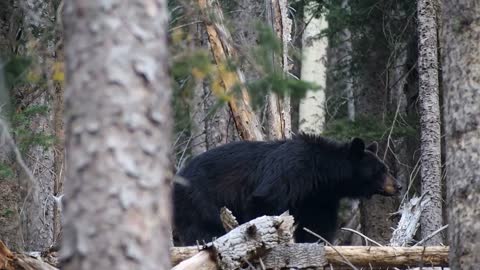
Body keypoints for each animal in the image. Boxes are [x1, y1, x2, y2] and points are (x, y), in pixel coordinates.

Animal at [173, 134, 402, 246]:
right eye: (381, 170)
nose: (398, 185)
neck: (321, 174)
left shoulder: (319, 198)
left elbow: (317, 225)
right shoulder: (291, 172)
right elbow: (263, 203)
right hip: (199, 198)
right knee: (202, 227)